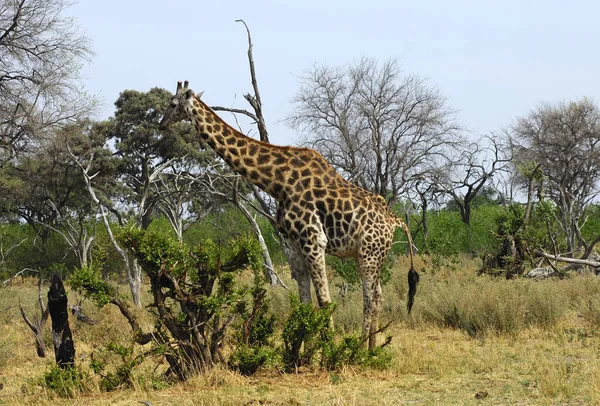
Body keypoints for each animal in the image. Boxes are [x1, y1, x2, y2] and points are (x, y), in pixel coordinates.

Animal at [161, 80, 422, 348]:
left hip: (369, 253)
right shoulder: (292, 244)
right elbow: (304, 304)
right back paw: (372, 350)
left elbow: (325, 302)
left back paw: (358, 350)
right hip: (371, 254)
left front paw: (328, 351)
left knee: (369, 298)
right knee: (378, 296)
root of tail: (394, 220)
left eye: (172, 104)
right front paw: (305, 352)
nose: (161, 124)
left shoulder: (314, 240)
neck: (278, 182)